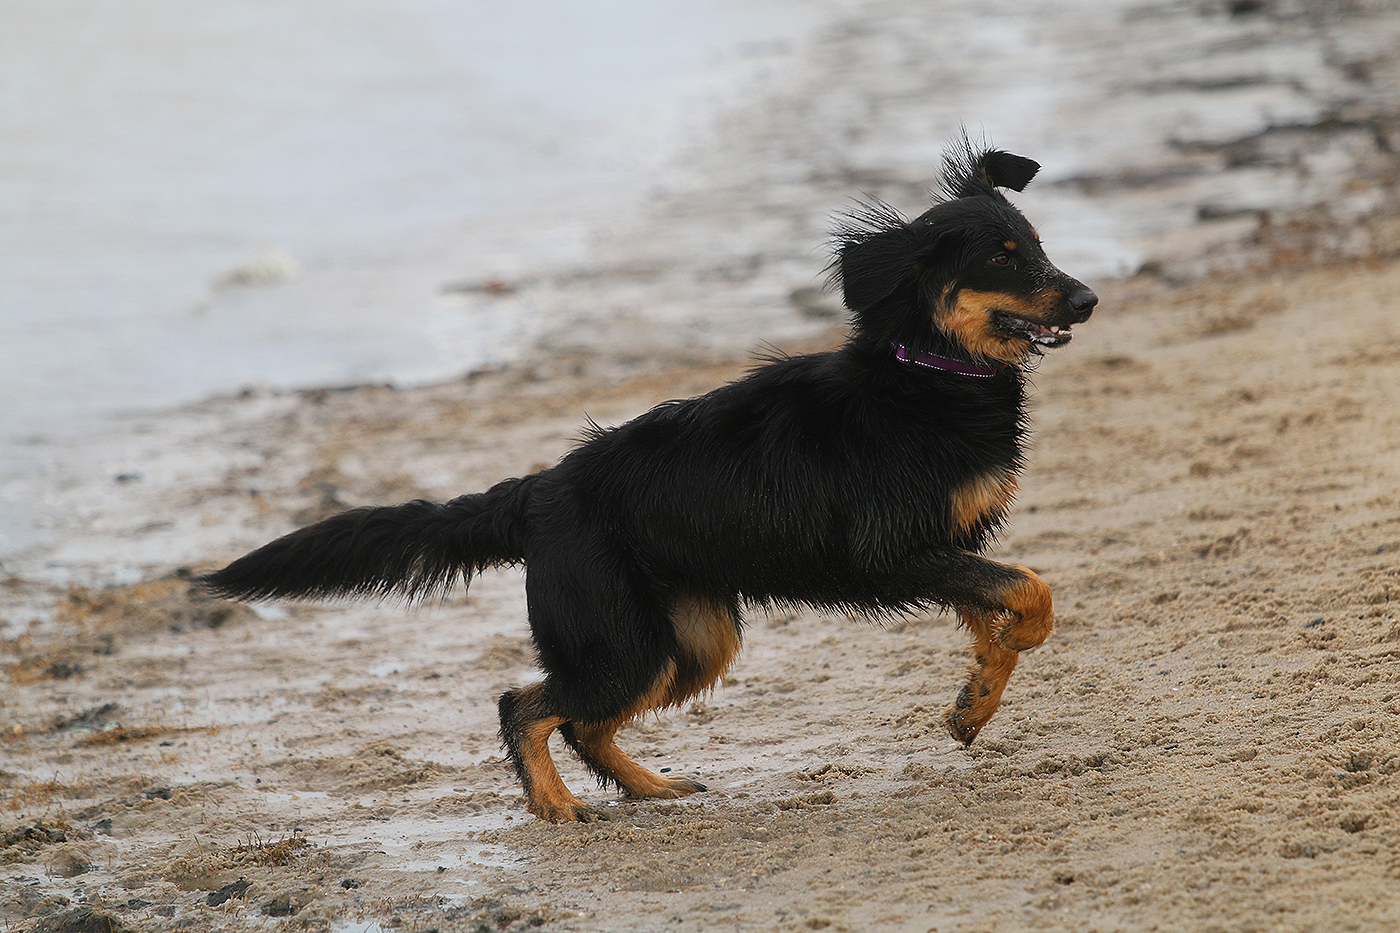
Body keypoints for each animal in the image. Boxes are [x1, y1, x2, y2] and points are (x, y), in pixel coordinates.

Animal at [201, 138, 1096, 822]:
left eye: (1039, 247)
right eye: (1001, 260)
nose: (1088, 298)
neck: (927, 373)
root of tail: (539, 491)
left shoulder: (945, 546)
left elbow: (996, 618)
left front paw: (973, 703)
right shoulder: (895, 550)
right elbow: (1031, 588)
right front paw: (1013, 651)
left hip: (690, 638)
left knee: (584, 724)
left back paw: (649, 785)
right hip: (621, 641)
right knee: (526, 705)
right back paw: (557, 806)